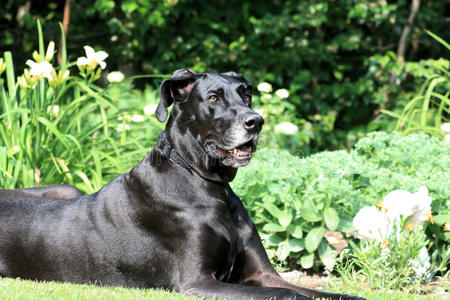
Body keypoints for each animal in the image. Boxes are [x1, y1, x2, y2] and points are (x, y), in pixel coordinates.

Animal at [0, 69, 364, 300]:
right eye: (214, 97)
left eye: (245, 93)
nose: (256, 121)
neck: (209, 185)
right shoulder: (198, 282)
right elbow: (288, 294)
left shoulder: (263, 275)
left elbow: (330, 294)